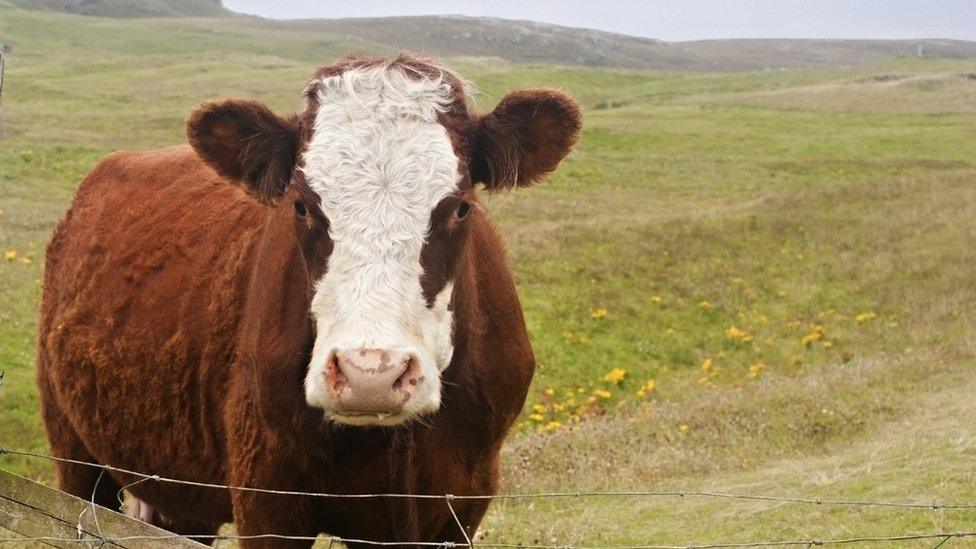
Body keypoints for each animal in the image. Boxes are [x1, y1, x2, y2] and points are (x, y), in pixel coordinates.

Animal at [38, 52, 584, 548]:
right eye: (301, 206)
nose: (371, 376)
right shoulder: (267, 498)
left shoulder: (459, 503)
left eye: (461, 207)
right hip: (76, 454)